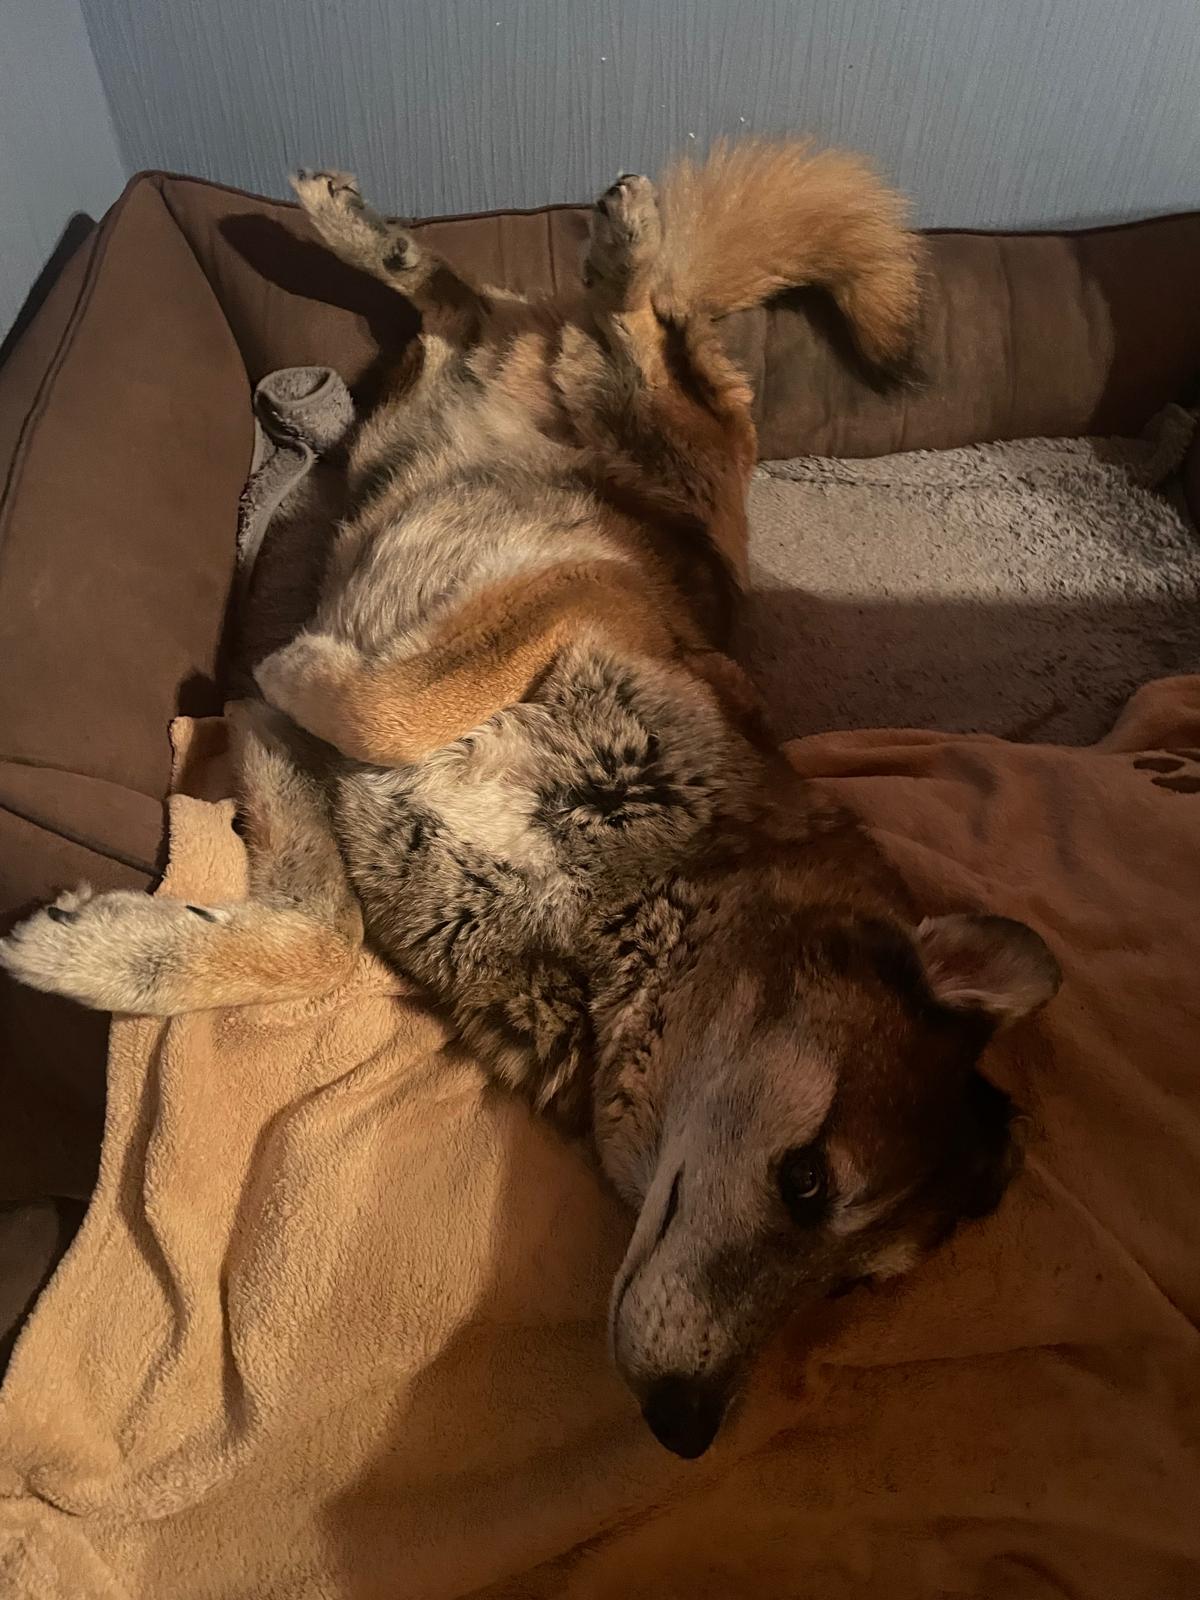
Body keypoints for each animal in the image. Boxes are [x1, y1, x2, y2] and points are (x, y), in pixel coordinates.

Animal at [1, 139, 1061, 1459]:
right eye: (808, 1181)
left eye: (857, 1285)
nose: (687, 1428)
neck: (635, 904)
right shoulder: (572, 590)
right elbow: (372, 698)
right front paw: (306, 662)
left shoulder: (308, 773)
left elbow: (317, 932)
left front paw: (104, 951)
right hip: (664, 434)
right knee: (637, 323)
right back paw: (608, 241)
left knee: (472, 306)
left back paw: (403, 243)